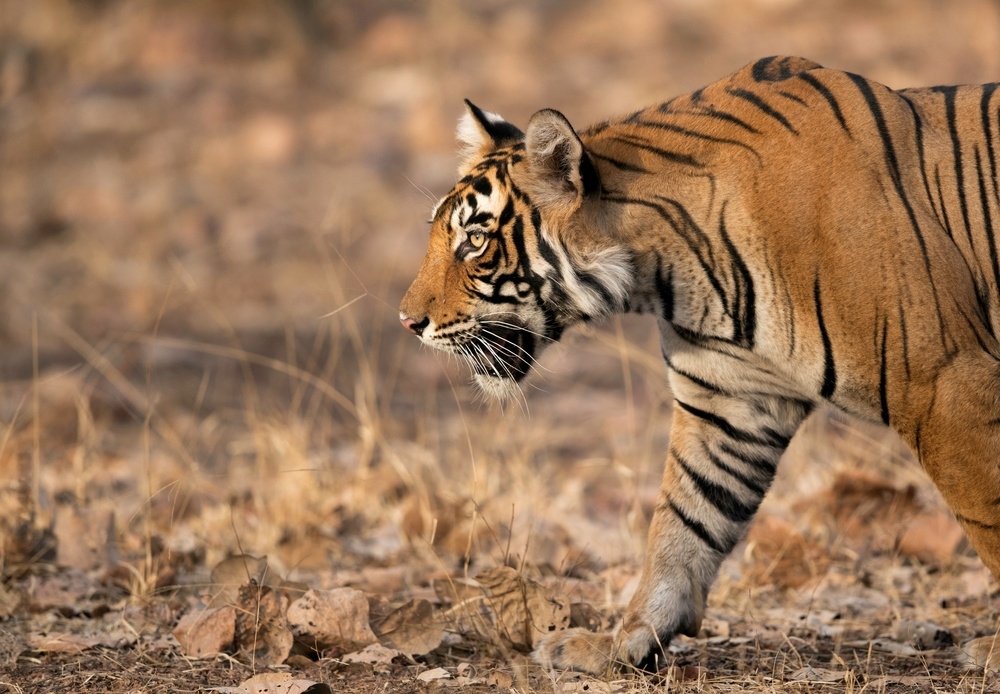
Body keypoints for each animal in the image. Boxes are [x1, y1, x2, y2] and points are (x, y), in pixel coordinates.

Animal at [398, 55, 1000, 674]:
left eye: (474, 241)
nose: (407, 321)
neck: (665, 272)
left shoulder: (946, 382)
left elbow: (989, 515)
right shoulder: (729, 402)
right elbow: (684, 522)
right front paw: (621, 642)